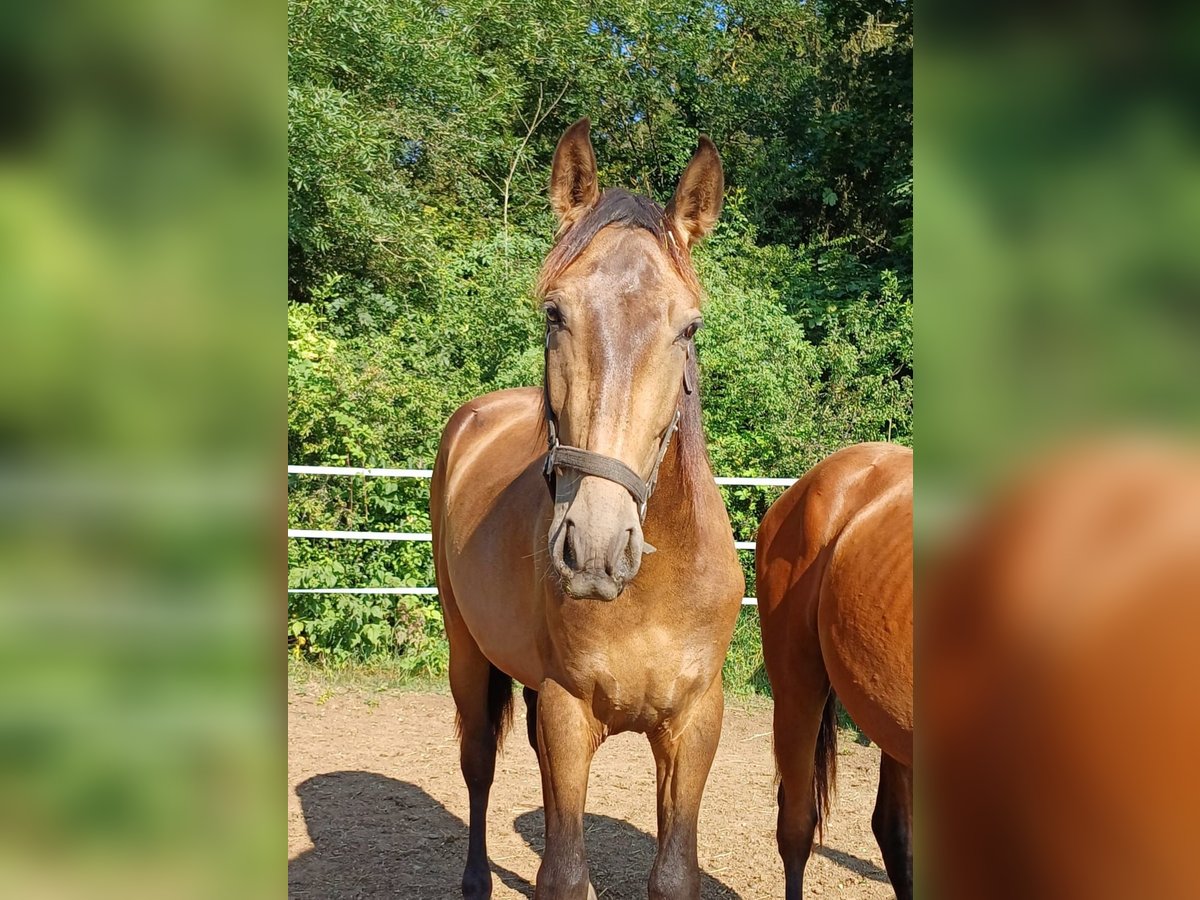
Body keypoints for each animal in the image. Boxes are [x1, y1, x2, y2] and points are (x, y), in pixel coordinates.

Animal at [432, 116, 744, 897]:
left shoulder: (695, 724)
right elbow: (567, 877)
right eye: (555, 313)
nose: (598, 550)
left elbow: (671, 874)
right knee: (478, 765)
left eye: (689, 327)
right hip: (467, 653)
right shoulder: (570, 713)